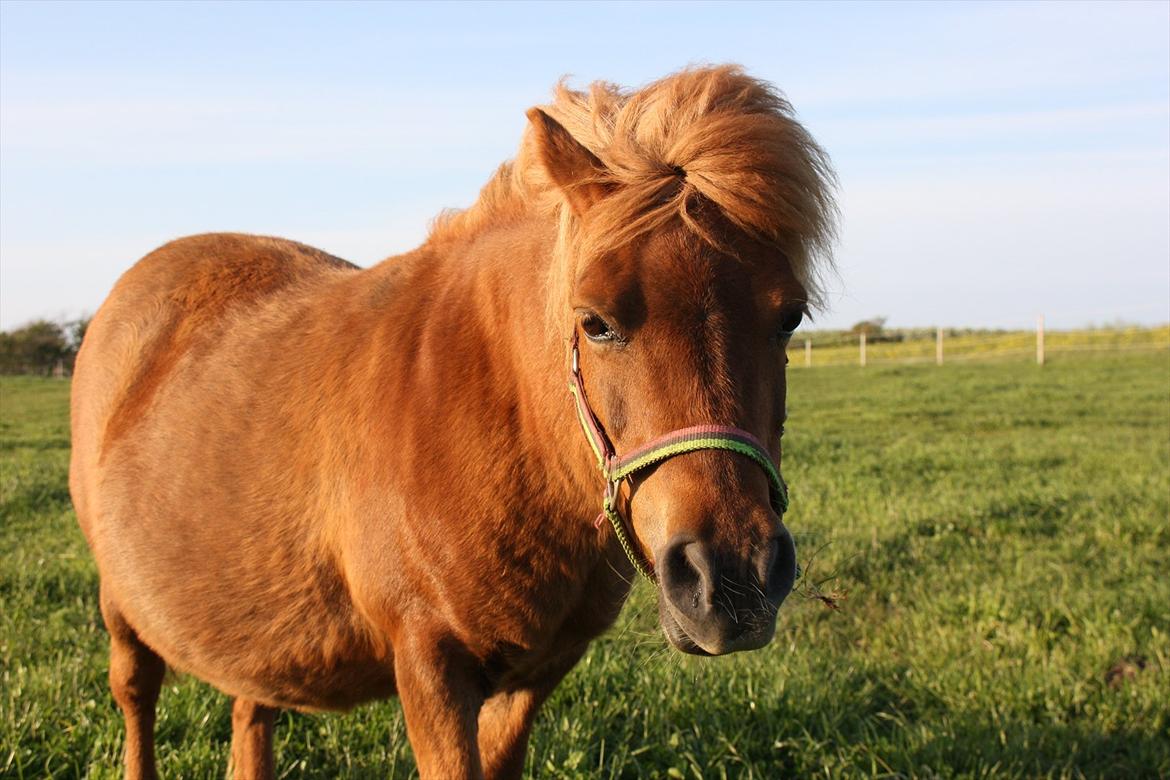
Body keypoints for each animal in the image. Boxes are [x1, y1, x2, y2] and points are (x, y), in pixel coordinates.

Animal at [68, 64, 837, 776]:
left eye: (790, 316)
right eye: (596, 321)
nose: (730, 576)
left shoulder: (535, 674)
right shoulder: (430, 668)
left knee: (251, 709)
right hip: (121, 607)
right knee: (136, 693)